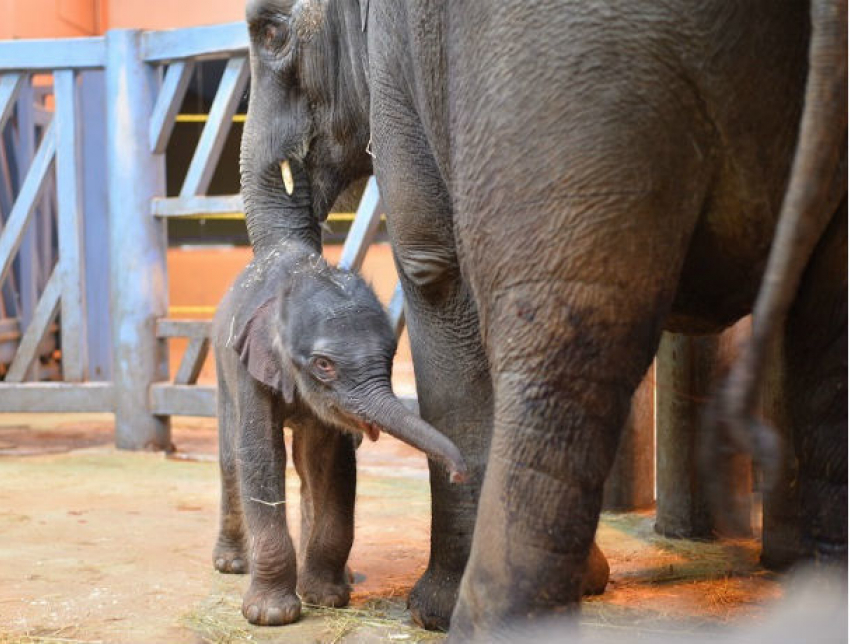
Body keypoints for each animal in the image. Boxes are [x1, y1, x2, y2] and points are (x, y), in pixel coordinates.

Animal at [237, 0, 840, 636]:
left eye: (271, 32)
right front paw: (589, 582)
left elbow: (434, 269)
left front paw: (432, 612)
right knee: (826, 344)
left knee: (565, 349)